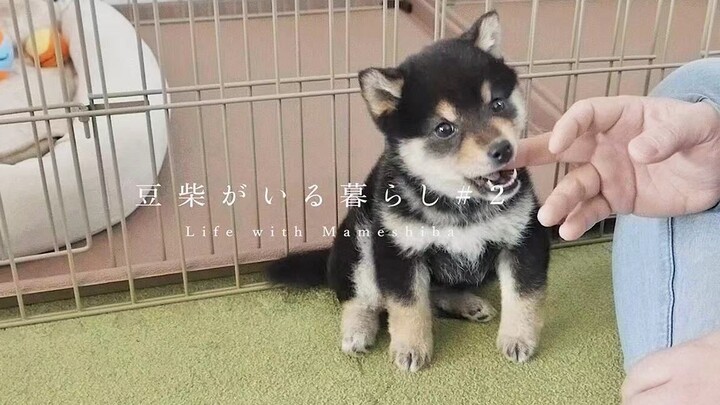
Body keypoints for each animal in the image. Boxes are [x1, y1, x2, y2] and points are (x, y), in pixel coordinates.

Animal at [268, 11, 552, 370]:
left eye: (498, 104)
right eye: (444, 129)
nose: (503, 149)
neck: (459, 204)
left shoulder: (522, 237)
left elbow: (523, 296)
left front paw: (518, 338)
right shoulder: (399, 250)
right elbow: (408, 306)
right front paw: (411, 347)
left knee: (435, 291)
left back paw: (467, 304)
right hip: (360, 238)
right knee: (360, 297)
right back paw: (357, 330)